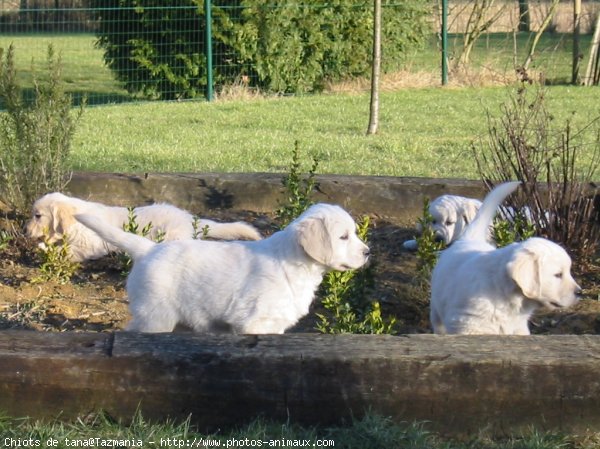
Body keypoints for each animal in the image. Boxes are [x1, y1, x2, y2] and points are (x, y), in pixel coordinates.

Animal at [25, 191, 262, 260]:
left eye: (37, 216)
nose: (23, 231)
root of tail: (188, 217)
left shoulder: (92, 245)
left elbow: (68, 251)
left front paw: (48, 251)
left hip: (169, 235)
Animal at [75, 203, 370, 332]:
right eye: (343, 237)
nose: (368, 253)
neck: (294, 264)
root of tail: (148, 249)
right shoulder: (255, 324)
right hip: (156, 316)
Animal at [432, 180, 580, 334]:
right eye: (558, 275)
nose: (579, 292)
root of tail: (468, 239)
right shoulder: (469, 326)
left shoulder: (518, 327)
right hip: (436, 311)